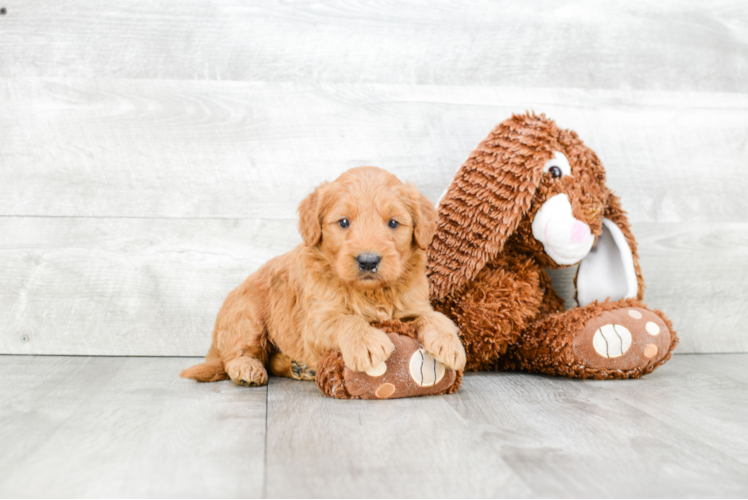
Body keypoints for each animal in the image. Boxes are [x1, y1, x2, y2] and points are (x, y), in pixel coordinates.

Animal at [180, 166, 462, 384]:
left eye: (393, 223)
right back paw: (248, 369)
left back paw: (299, 367)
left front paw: (450, 343)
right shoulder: (316, 321)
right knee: (235, 356)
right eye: (344, 222)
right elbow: (346, 319)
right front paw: (366, 342)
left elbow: (435, 317)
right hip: (247, 316)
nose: (368, 261)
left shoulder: (413, 306)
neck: (370, 292)